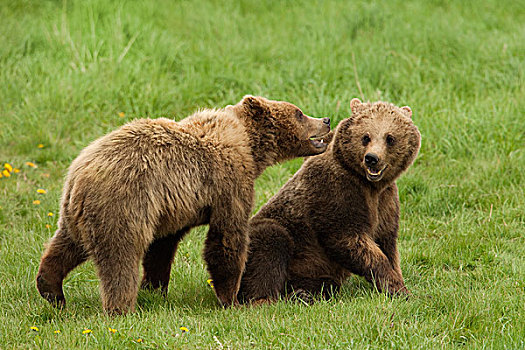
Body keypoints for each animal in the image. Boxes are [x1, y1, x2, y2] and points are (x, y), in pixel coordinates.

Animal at [35, 95, 332, 314]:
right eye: (299, 113)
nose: (326, 120)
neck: (249, 145)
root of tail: (79, 173)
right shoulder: (229, 182)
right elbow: (227, 237)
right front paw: (232, 298)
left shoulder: (172, 206)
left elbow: (162, 246)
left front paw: (155, 288)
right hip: (122, 204)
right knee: (120, 258)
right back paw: (121, 308)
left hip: (77, 213)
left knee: (65, 245)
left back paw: (51, 289)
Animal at [239, 98, 420, 304]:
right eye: (366, 137)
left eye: (390, 138)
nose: (372, 158)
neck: (370, 185)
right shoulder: (335, 193)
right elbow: (348, 238)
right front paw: (397, 288)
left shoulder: (386, 201)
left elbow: (388, 242)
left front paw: (398, 282)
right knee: (270, 241)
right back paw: (266, 298)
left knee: (325, 283)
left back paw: (303, 293)